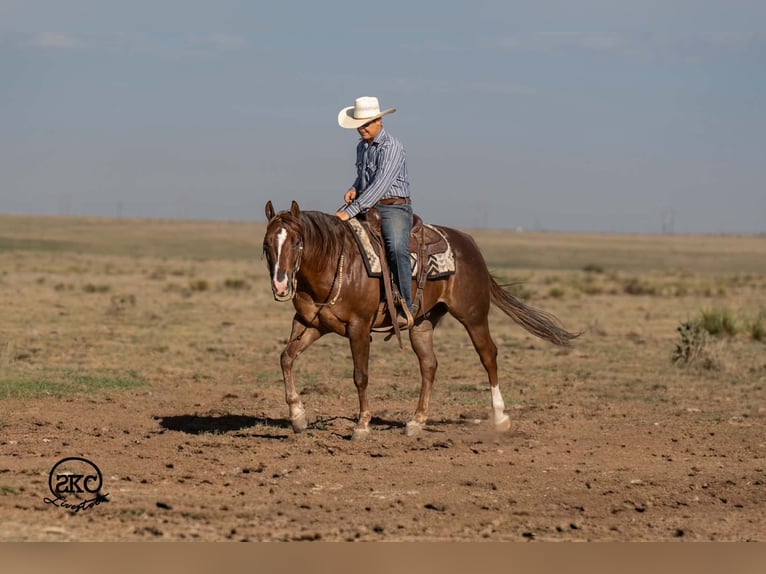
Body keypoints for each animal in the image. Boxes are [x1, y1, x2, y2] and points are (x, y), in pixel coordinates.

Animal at [263, 200, 579, 440]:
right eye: (267, 245)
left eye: (297, 242)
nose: (280, 285)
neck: (334, 263)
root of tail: (470, 244)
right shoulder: (311, 325)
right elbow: (286, 358)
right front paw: (297, 416)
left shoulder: (359, 327)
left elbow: (360, 376)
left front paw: (362, 426)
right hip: (423, 323)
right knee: (429, 365)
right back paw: (417, 421)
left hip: (473, 315)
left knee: (488, 355)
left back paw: (500, 418)